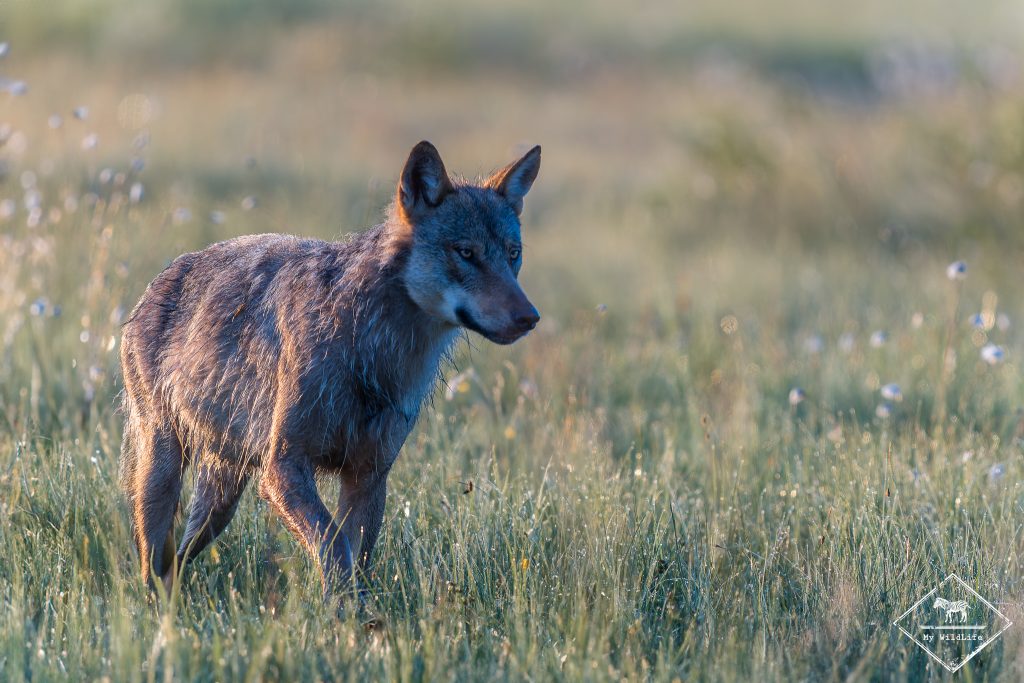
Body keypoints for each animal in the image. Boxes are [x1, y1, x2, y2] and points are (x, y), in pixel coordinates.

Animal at [119, 141, 541, 595]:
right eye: (466, 253)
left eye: (513, 255)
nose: (530, 317)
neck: (370, 348)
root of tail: (159, 279)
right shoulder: (283, 468)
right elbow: (334, 547)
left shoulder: (369, 476)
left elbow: (357, 562)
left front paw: (355, 614)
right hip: (164, 474)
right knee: (152, 566)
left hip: (220, 501)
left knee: (176, 562)